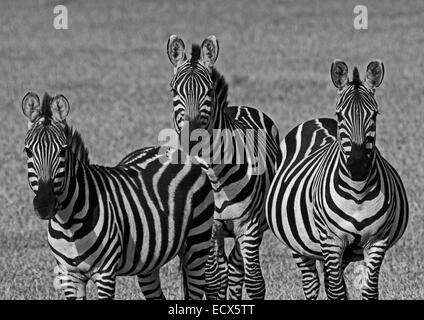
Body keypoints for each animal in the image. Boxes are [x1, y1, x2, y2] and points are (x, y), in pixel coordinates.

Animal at [22, 92, 215, 300]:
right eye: (28, 151)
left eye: (63, 150)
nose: (44, 205)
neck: (68, 223)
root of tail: (177, 152)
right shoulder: (69, 276)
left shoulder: (105, 273)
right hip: (149, 260)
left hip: (197, 244)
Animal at [166, 35, 282, 300]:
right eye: (174, 90)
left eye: (208, 91)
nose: (191, 139)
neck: (215, 176)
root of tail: (236, 106)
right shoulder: (208, 229)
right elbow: (212, 283)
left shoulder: (249, 227)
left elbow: (255, 283)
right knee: (223, 272)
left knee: (236, 269)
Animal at [266, 60, 410, 300]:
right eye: (340, 115)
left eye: (375, 115)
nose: (358, 166)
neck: (358, 192)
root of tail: (316, 120)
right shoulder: (331, 239)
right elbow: (335, 292)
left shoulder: (378, 240)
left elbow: (367, 290)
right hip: (298, 244)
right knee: (312, 283)